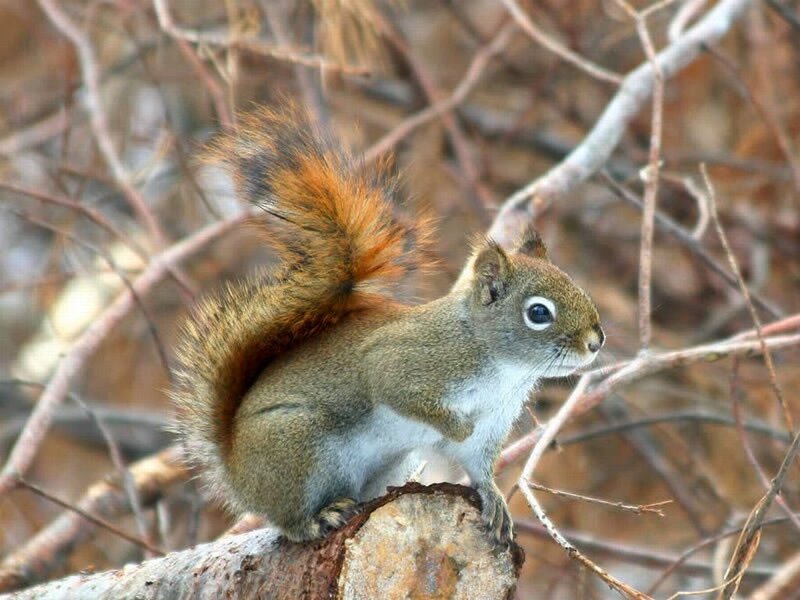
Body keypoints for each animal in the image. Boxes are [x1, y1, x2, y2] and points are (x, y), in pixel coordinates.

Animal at [171, 104, 604, 547]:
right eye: (539, 313)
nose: (596, 341)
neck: (503, 368)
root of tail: (235, 467)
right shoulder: (407, 359)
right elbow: (394, 385)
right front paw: (455, 425)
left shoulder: (492, 423)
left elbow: (477, 465)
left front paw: (494, 499)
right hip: (298, 446)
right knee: (287, 521)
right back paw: (316, 518)